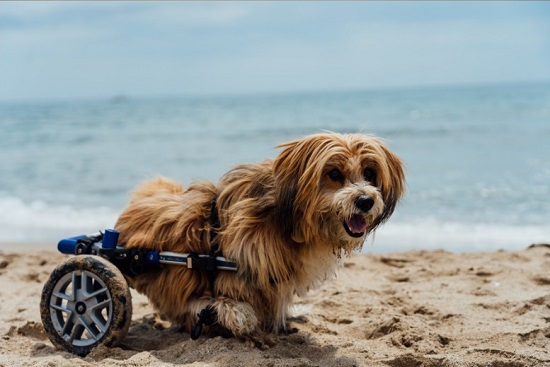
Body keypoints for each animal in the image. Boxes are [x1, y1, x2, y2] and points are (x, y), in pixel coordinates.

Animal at [115, 134, 406, 346]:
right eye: (334, 174)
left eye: (369, 173)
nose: (365, 201)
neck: (285, 220)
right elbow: (226, 305)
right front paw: (242, 322)